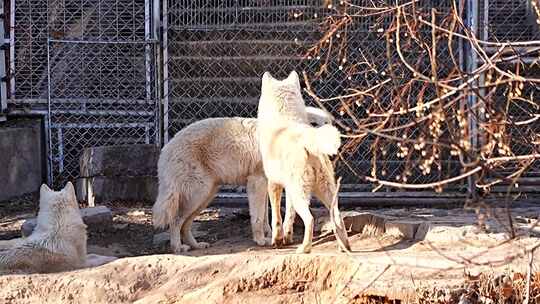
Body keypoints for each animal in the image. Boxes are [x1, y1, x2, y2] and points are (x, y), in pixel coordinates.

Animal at [150, 108, 332, 253]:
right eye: (314, 124)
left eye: (328, 123)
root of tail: (166, 150)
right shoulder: (257, 182)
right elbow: (258, 216)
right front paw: (261, 240)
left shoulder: (265, 183)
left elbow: (265, 215)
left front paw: (269, 235)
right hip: (199, 194)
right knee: (175, 221)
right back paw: (177, 248)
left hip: (206, 196)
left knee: (185, 225)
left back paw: (196, 245)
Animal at [256, 71, 350, 254]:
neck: (283, 117)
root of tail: (310, 141)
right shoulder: (287, 188)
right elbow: (289, 216)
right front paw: (287, 237)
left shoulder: (273, 184)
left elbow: (276, 218)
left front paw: (277, 240)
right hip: (324, 192)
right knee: (337, 217)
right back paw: (344, 247)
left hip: (302, 194)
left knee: (310, 219)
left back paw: (304, 248)